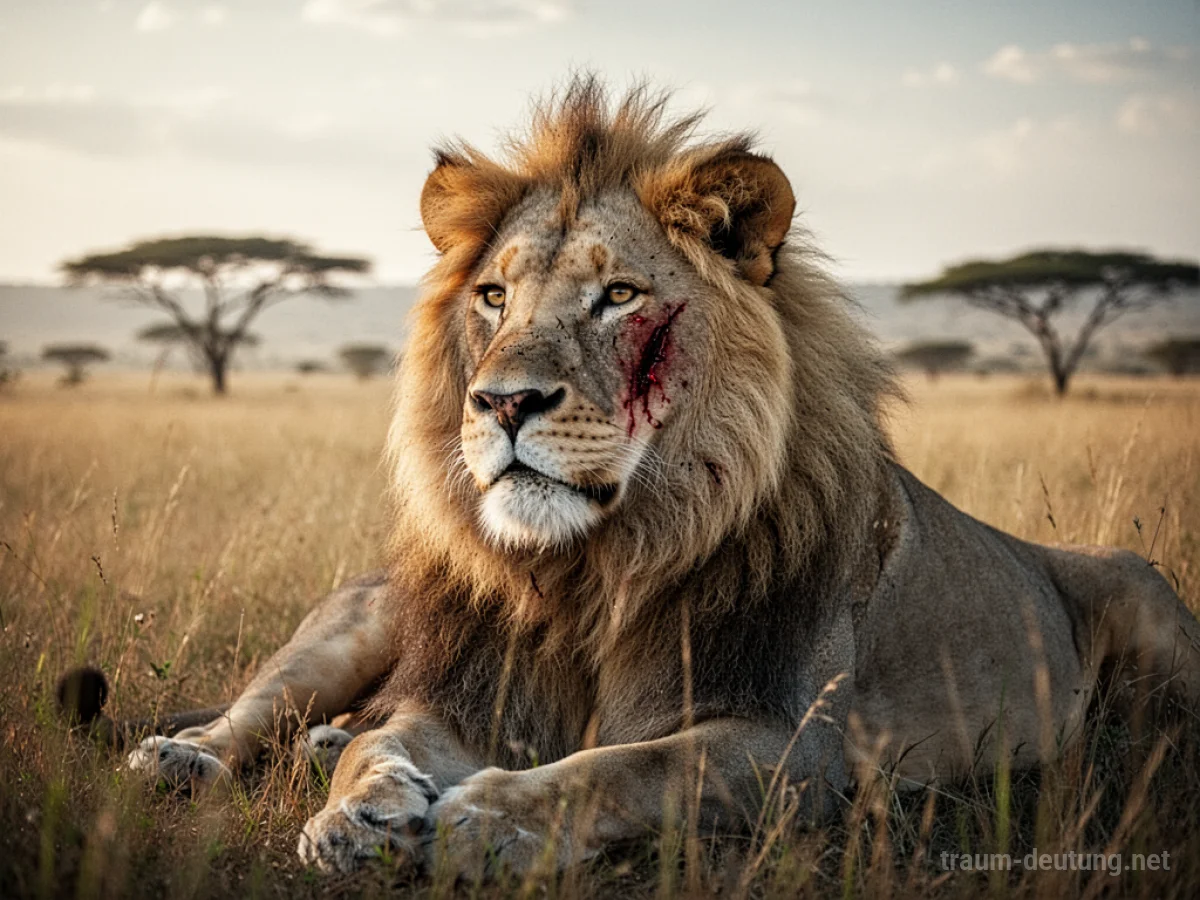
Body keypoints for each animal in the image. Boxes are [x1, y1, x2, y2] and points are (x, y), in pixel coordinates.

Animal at [74, 78, 1197, 879]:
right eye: (494, 296)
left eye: (618, 296)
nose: (502, 404)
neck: (588, 571)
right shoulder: (461, 691)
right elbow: (380, 745)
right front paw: (358, 813)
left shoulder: (798, 746)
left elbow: (636, 764)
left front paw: (495, 814)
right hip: (364, 619)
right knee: (263, 708)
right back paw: (192, 757)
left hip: (1149, 599)